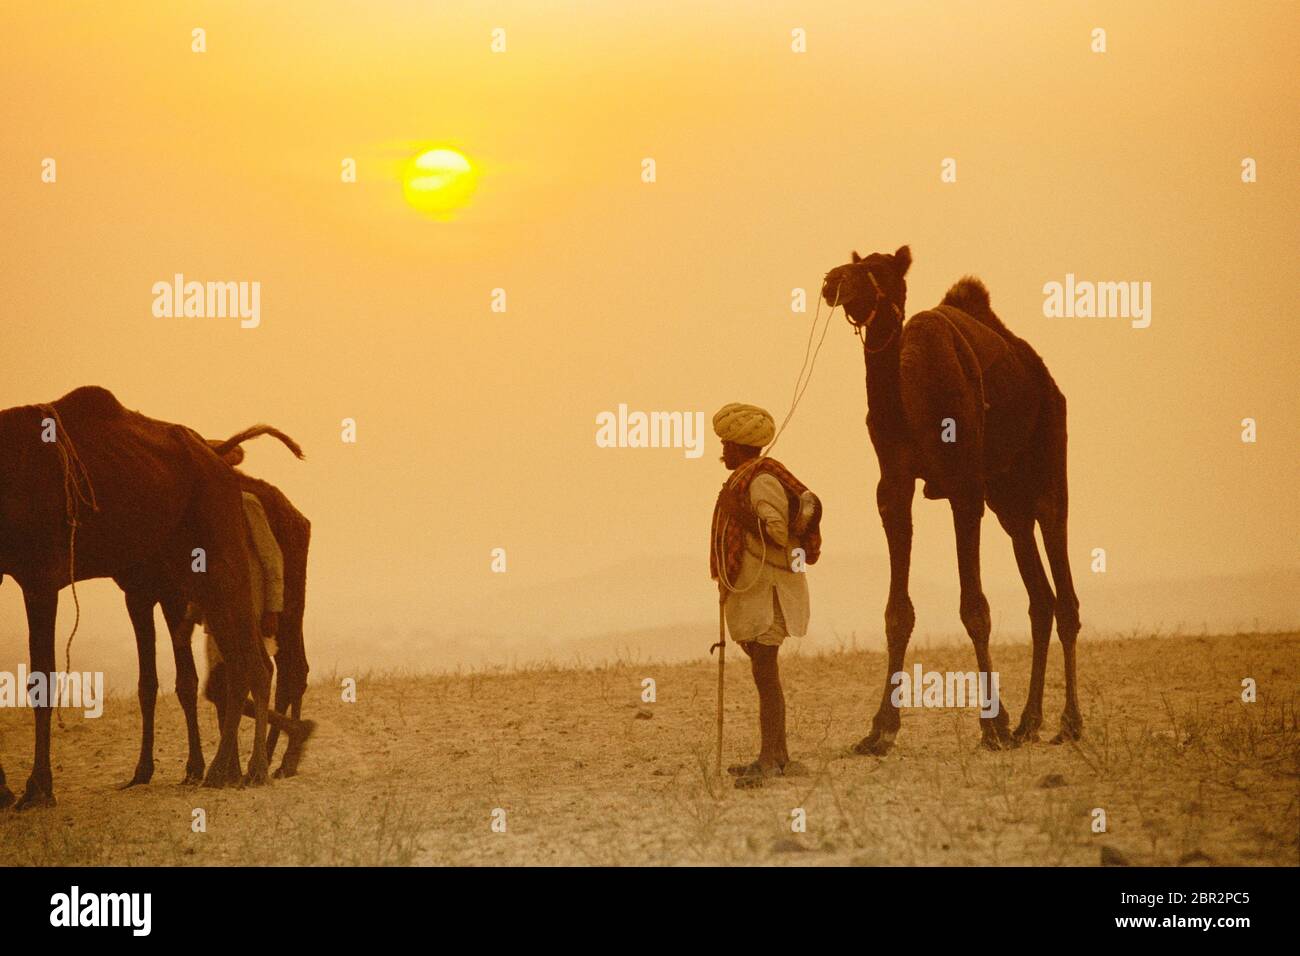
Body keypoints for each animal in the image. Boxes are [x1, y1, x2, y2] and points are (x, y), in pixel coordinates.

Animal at [0, 386, 269, 808]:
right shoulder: (143, 594)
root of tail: (220, 463)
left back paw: (236, 770)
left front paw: (37, 788)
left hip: (219, 553)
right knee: (243, 657)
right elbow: (157, 682)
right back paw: (235, 770)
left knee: (246, 659)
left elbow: (42, 677)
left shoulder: (40, 577)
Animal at [116, 426, 314, 788]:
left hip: (290, 596)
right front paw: (143, 770)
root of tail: (297, 515)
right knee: (283, 667)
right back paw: (270, 760)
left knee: (291, 669)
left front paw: (196, 767)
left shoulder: (171, 593)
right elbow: (149, 683)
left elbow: (187, 682)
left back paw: (279, 761)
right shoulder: (138, 593)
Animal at [821, 246, 1081, 754]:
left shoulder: (964, 488)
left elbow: (975, 609)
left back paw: (1069, 723)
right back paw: (1029, 722)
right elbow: (897, 613)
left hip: (1047, 459)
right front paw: (880, 729)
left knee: (1063, 589)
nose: (830, 280)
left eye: (876, 271)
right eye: (853, 263)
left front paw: (992, 724)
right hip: (1006, 497)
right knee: (1038, 596)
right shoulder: (894, 488)